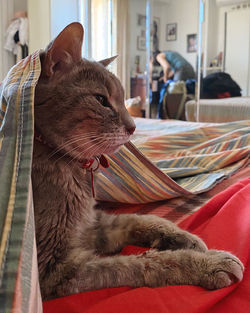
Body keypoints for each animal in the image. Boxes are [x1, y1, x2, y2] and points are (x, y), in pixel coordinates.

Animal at [32, 22, 243, 300]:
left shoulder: (95, 222)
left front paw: (183, 236)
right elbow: (141, 263)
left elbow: (141, 219)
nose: (133, 127)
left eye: (123, 100)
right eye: (101, 100)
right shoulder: (56, 269)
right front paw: (205, 263)